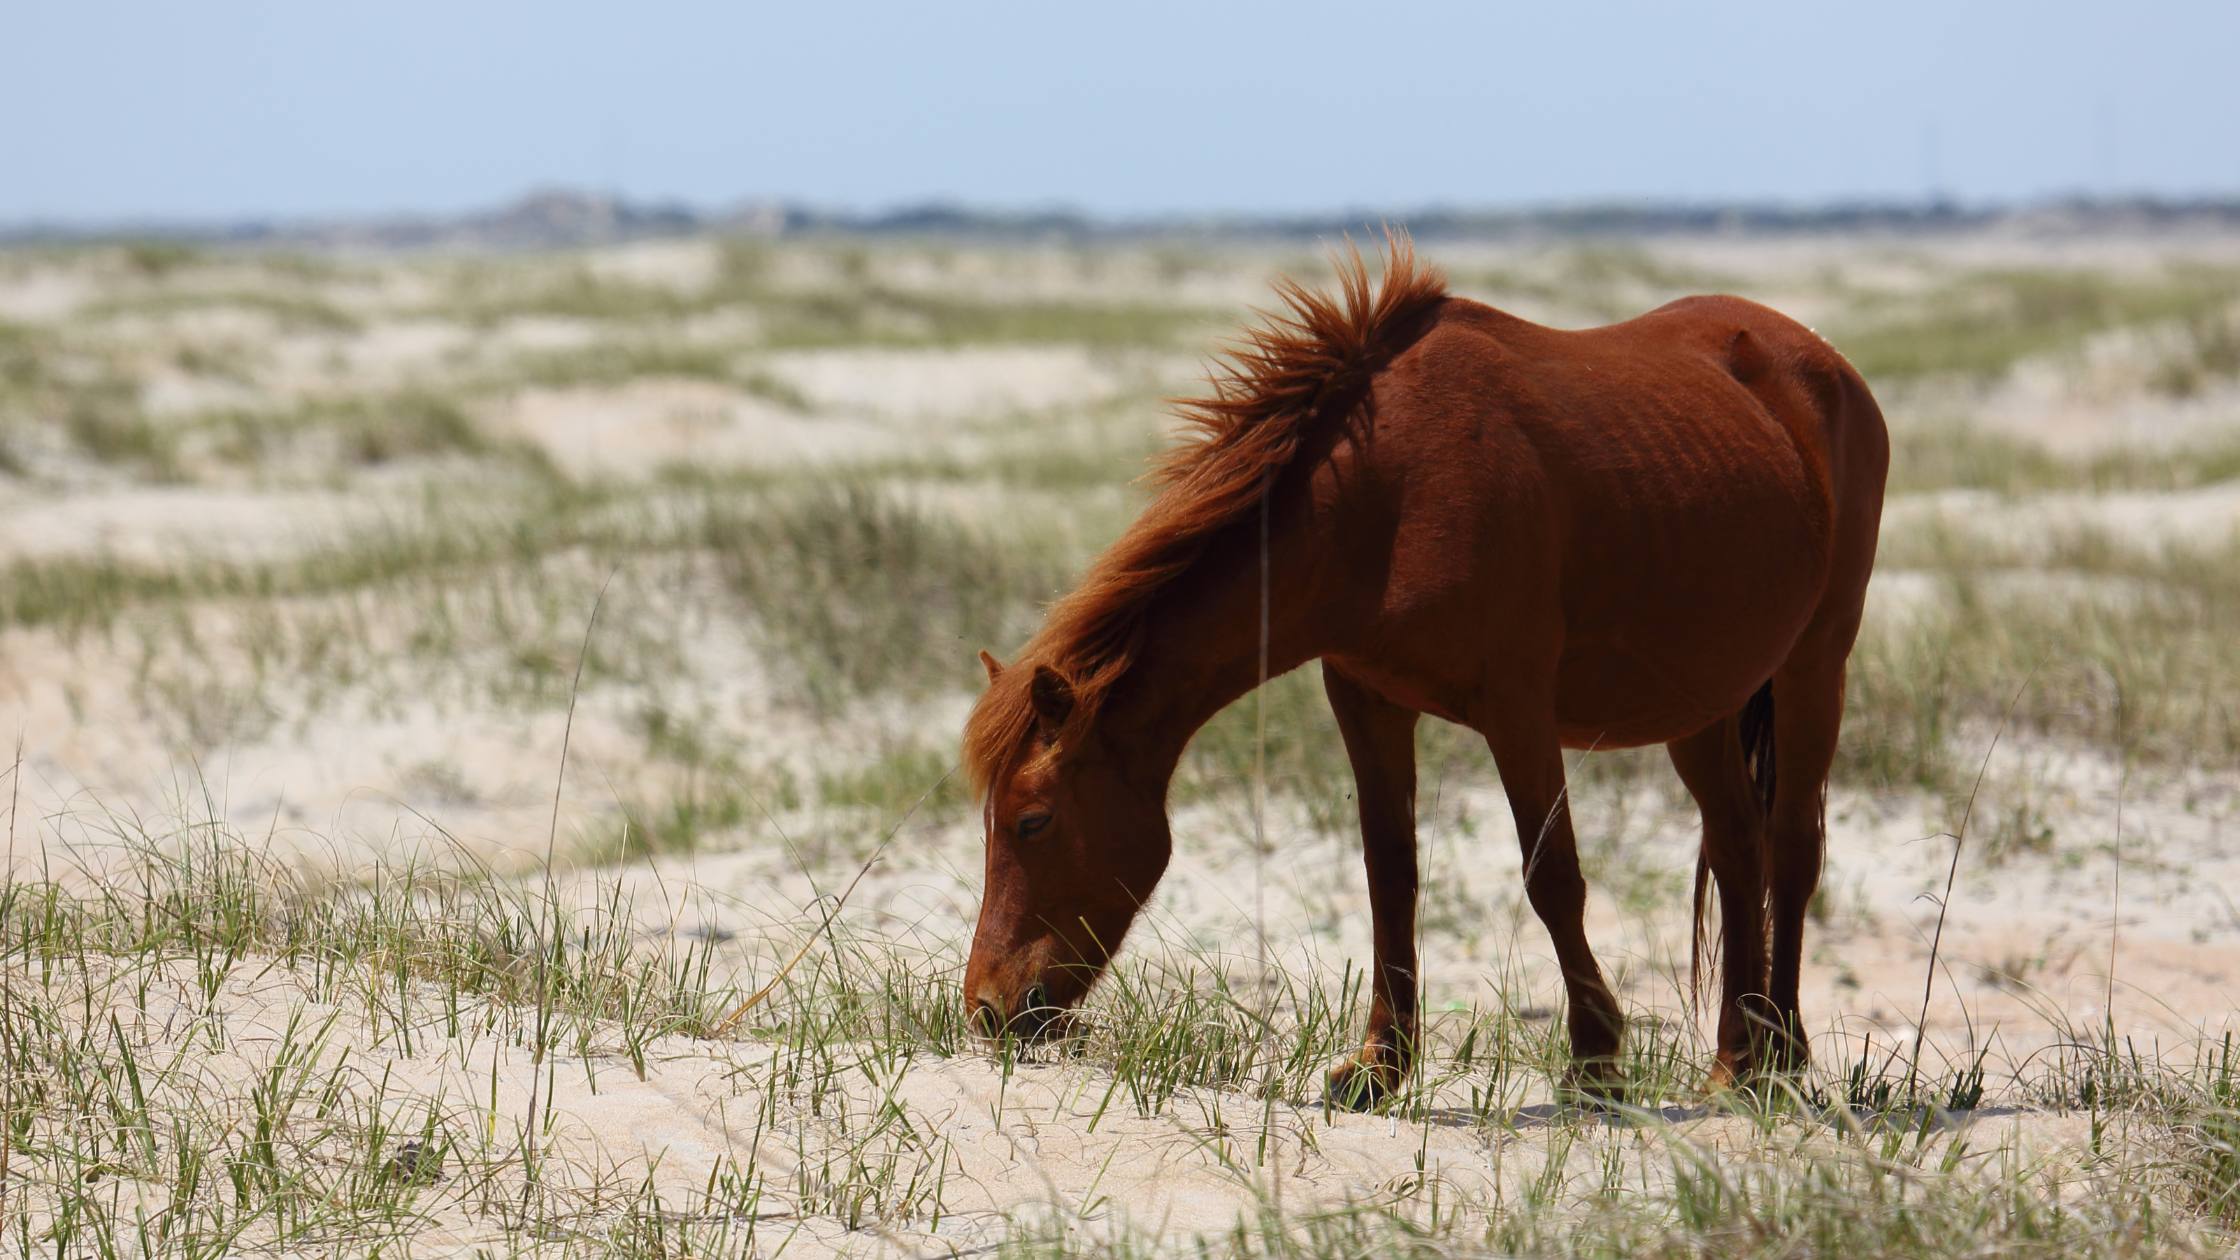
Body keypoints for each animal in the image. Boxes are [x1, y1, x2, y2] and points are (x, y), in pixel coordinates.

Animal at [961, 232, 1887, 1104]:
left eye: (1033, 820)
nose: (986, 1010)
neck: (1384, 499)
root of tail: (1827, 364)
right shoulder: (1367, 700)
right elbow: (1391, 876)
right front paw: (1380, 1067)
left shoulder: (1517, 710)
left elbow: (1553, 878)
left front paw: (1595, 1060)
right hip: (1701, 702)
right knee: (1737, 848)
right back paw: (1739, 1060)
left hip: (1814, 666)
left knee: (1791, 849)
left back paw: (1782, 1053)